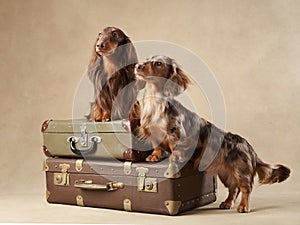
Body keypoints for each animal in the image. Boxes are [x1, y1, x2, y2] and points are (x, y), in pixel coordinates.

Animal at [130, 55, 290, 213]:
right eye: (146, 59)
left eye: (158, 63)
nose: (137, 66)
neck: (155, 101)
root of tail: (250, 148)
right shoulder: (154, 134)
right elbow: (157, 146)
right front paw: (154, 156)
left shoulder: (176, 132)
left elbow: (175, 147)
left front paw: (174, 158)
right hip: (226, 174)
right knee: (234, 188)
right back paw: (227, 203)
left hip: (241, 170)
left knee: (245, 188)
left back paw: (243, 206)